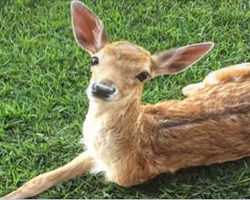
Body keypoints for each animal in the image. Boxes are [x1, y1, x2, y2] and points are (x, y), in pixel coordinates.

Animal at [2, 1, 250, 198]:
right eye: (95, 59)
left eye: (143, 75)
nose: (103, 88)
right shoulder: (91, 151)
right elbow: (40, 178)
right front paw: (10, 195)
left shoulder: (128, 177)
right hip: (216, 75)